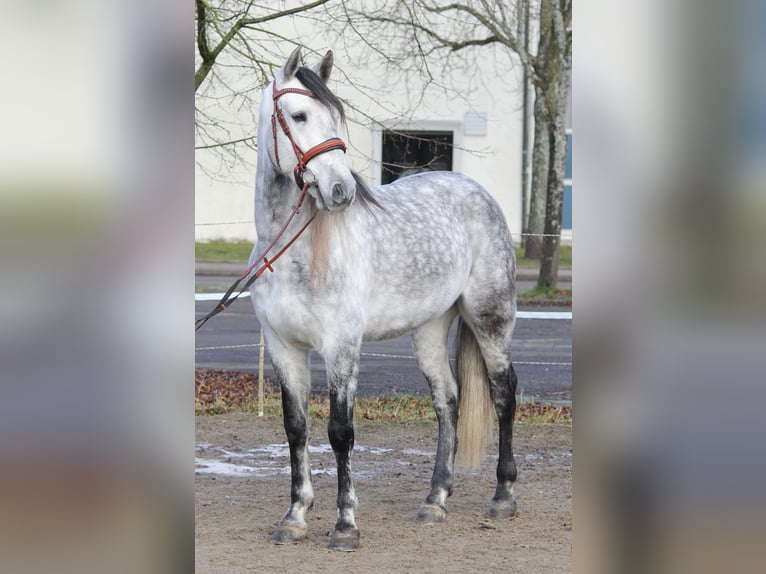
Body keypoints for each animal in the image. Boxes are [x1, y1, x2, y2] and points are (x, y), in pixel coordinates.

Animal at [252, 48, 520, 552]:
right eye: (298, 116)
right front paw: (294, 517)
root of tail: (477, 192)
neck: (297, 252)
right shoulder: (283, 347)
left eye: (337, 116)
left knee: (503, 393)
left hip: (490, 318)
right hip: (431, 328)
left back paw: (503, 497)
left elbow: (341, 432)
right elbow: (296, 428)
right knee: (448, 400)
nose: (341, 191)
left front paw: (345, 525)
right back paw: (435, 500)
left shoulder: (341, 346)